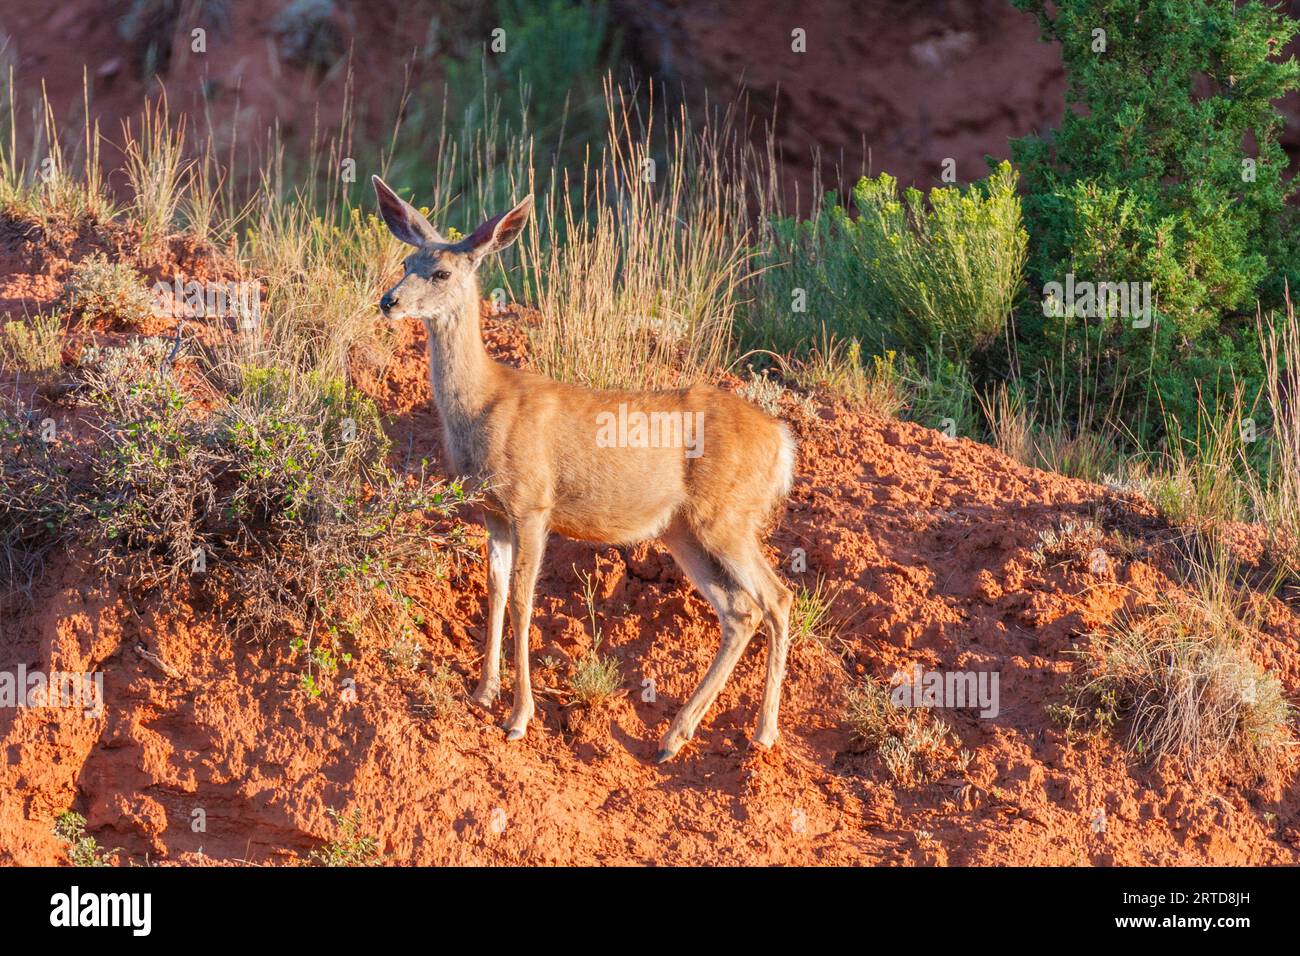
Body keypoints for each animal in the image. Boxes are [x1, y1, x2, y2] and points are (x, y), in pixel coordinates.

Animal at [371, 178, 795, 764]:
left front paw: (519, 717)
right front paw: (483, 692)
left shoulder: (533, 504)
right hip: (683, 529)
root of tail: (781, 440)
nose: (389, 301)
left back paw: (761, 734)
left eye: (442, 273)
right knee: (741, 611)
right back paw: (674, 737)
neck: (483, 403)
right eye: (407, 260)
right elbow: (495, 591)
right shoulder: (491, 510)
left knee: (777, 598)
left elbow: (524, 600)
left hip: (726, 516)